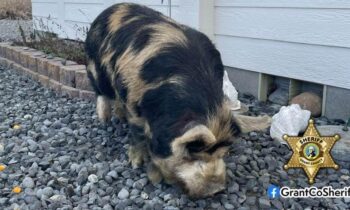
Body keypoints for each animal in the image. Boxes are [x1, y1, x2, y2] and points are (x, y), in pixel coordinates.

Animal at [84, 2, 241, 198]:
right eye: (191, 154)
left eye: (222, 153)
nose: (217, 189)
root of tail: (111, 8)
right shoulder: (133, 101)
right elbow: (137, 133)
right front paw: (136, 164)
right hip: (95, 65)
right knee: (100, 91)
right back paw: (104, 119)